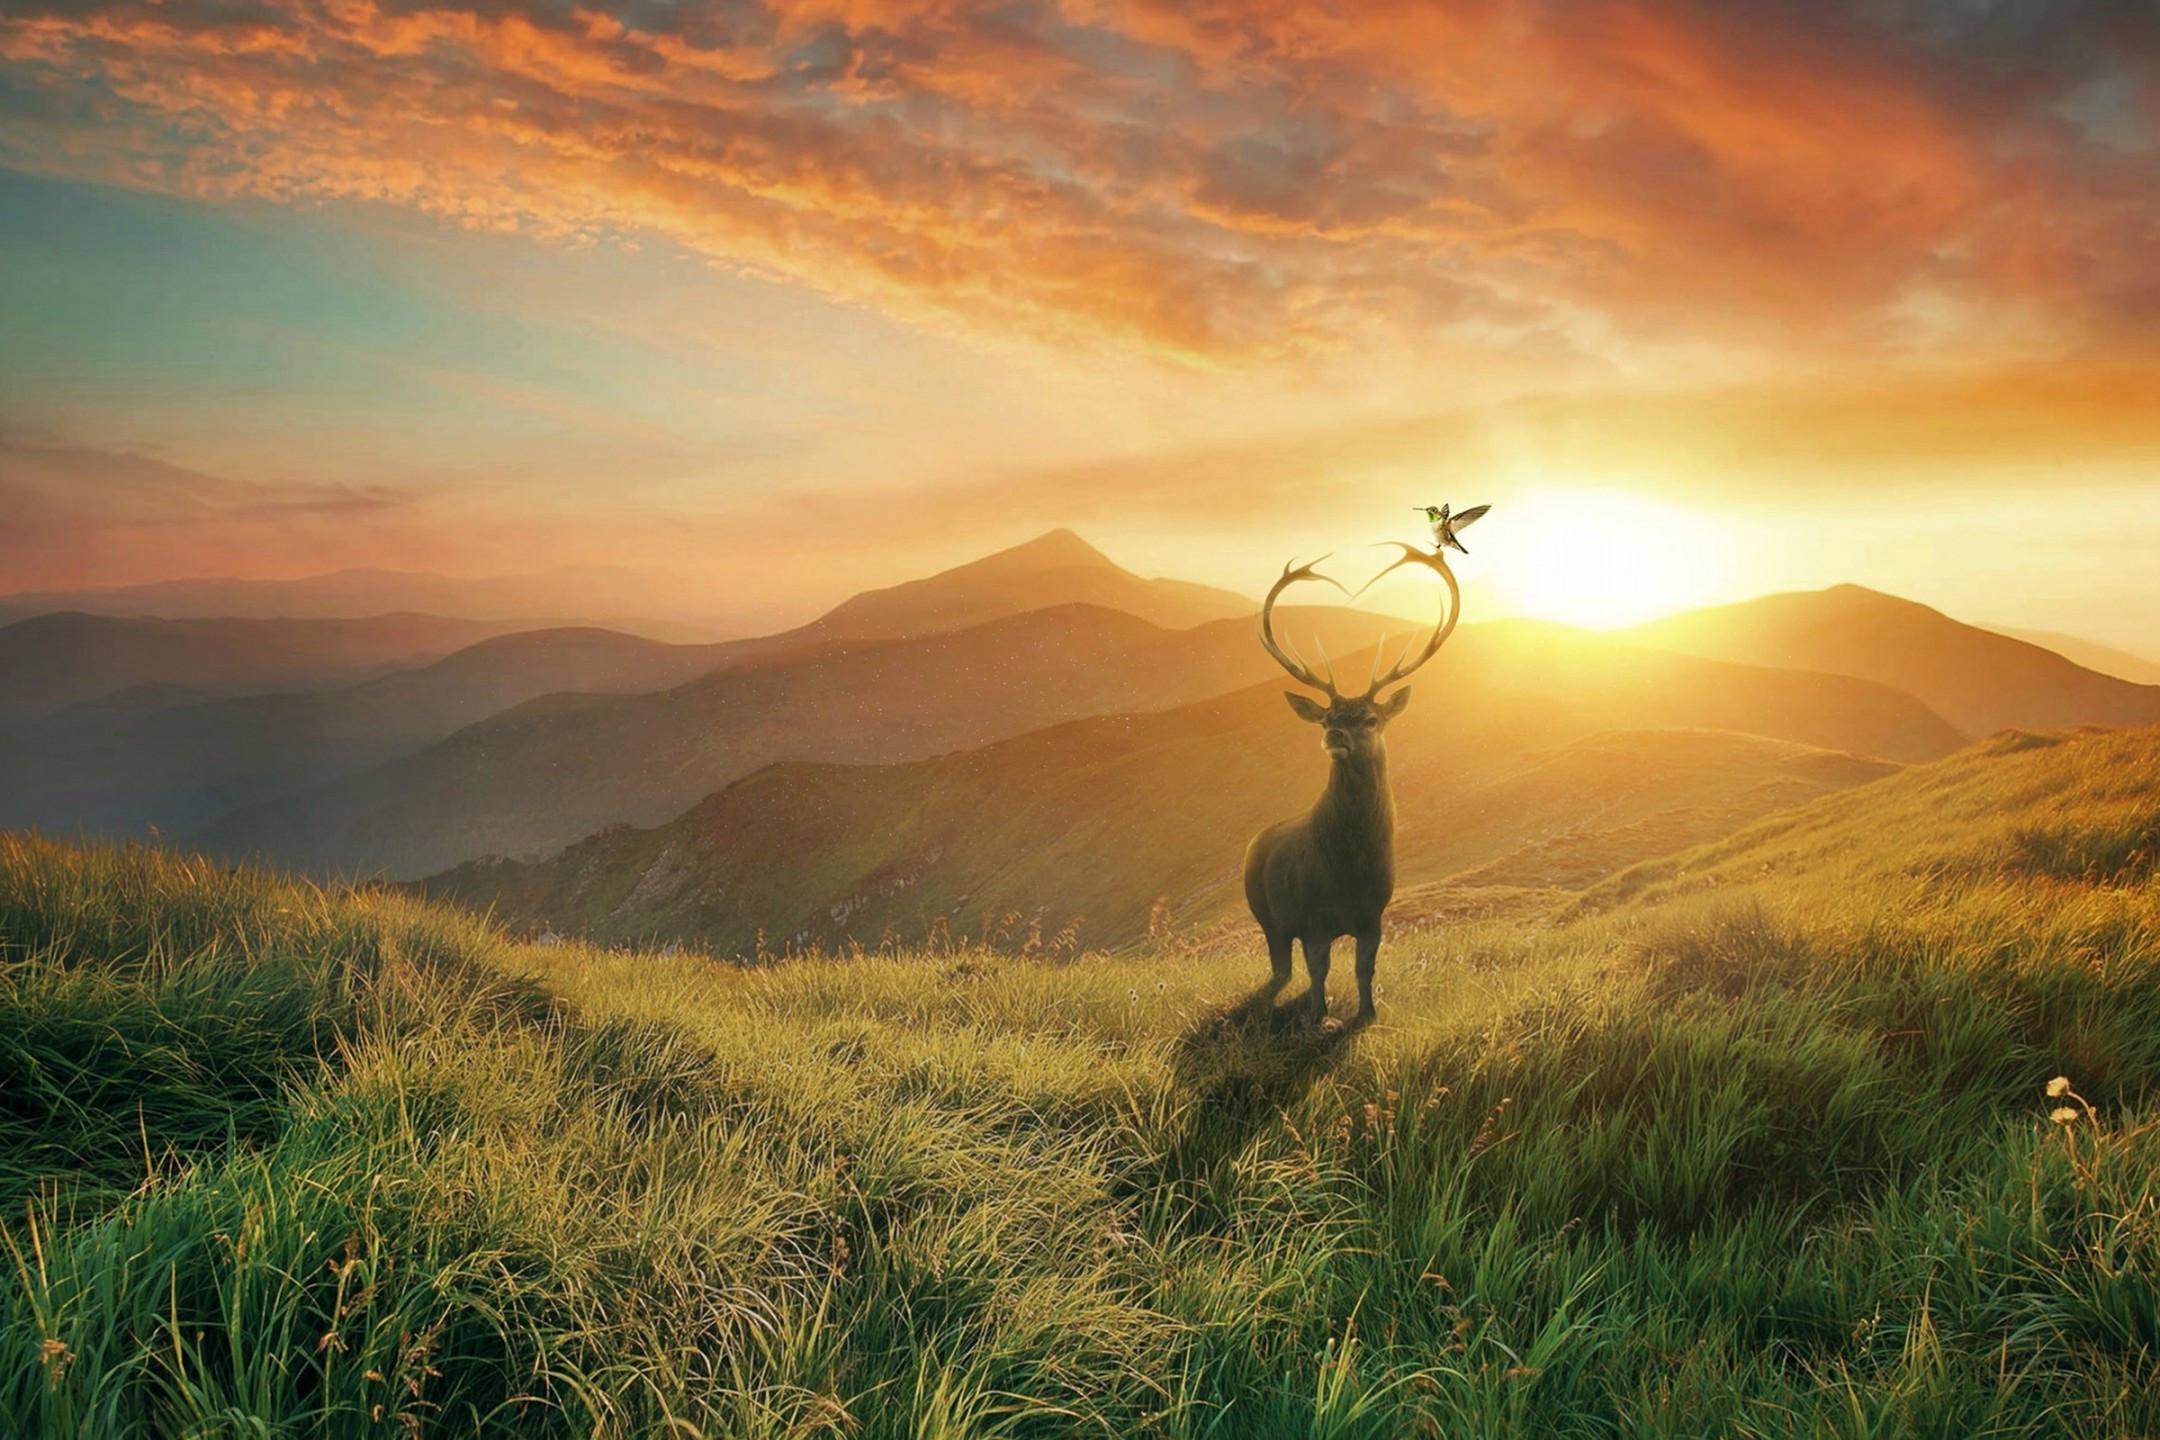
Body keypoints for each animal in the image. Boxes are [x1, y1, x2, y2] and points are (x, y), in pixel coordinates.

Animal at [1243, 542, 1460, 1025]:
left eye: (1371, 718)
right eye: (1326, 718)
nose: (1335, 735)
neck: (1348, 871)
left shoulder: (1374, 915)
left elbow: (1365, 968)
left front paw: (1368, 1013)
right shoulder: (1312, 918)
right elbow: (1319, 971)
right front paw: (1318, 1017)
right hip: (1266, 914)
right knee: (1280, 968)